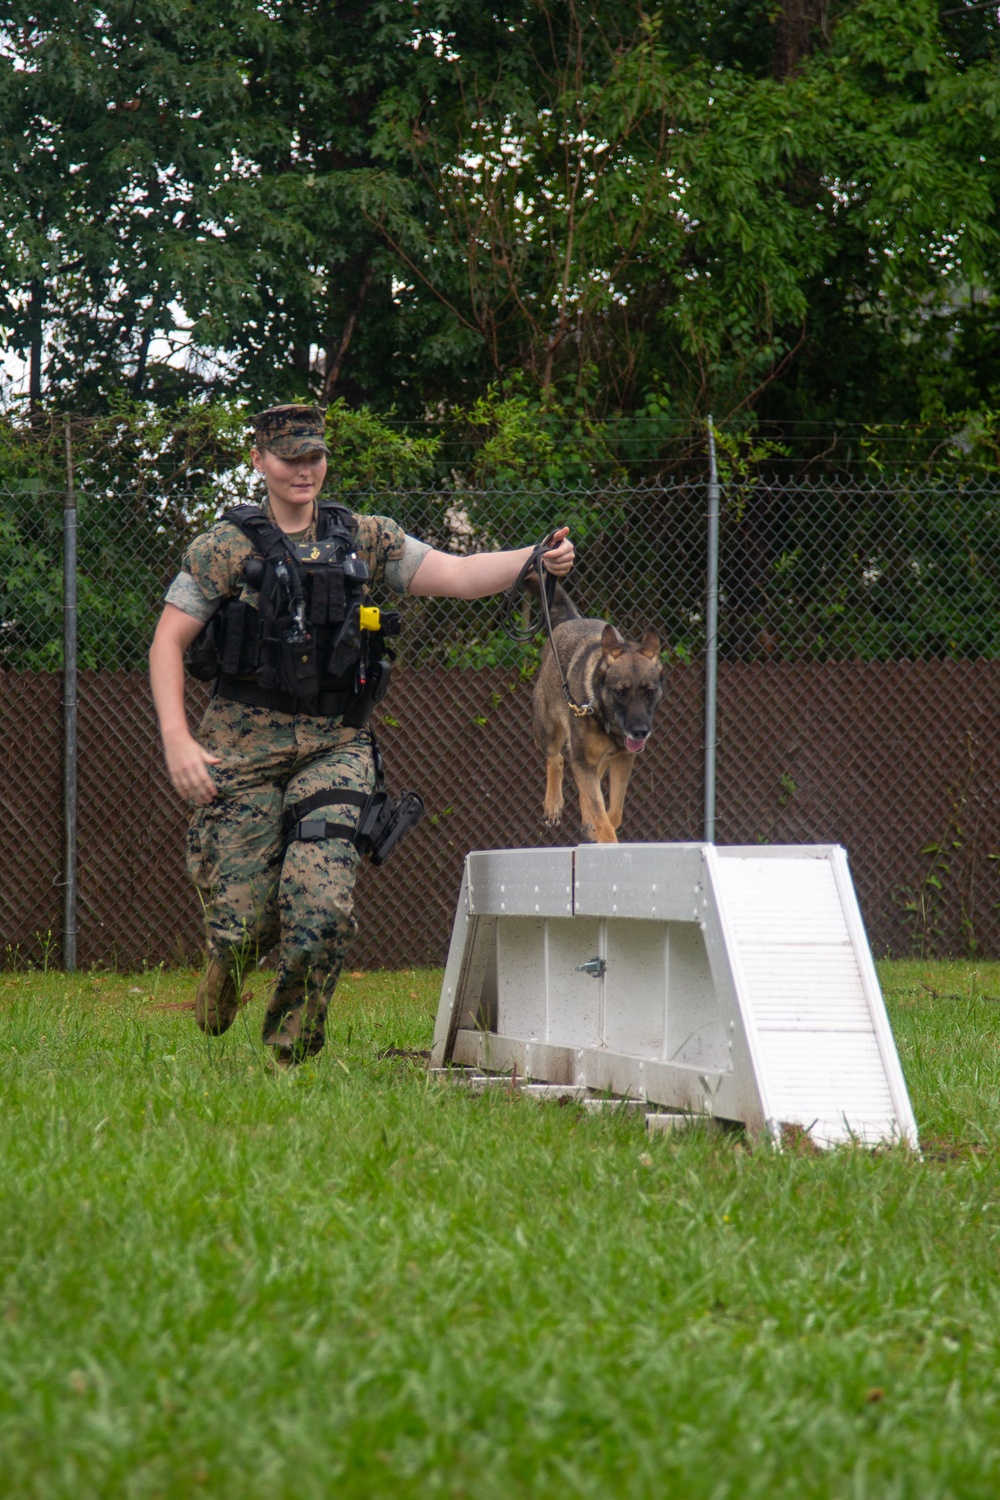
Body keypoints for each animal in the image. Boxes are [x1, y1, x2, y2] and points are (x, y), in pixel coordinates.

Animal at [530, 582, 665, 846]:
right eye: (621, 692)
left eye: (650, 691)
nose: (640, 732)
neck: (606, 718)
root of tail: (571, 621)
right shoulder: (584, 761)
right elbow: (602, 815)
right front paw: (606, 841)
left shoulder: (623, 759)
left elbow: (613, 812)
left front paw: (598, 828)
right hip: (547, 732)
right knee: (556, 758)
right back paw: (553, 804)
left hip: (597, 760)